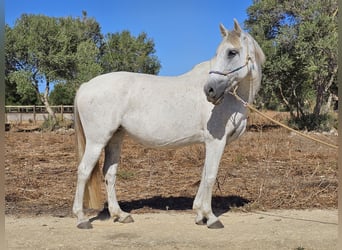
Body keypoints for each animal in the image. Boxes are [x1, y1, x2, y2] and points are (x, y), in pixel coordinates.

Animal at [71, 19, 264, 229]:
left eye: (231, 52)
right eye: (223, 52)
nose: (210, 90)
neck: (230, 98)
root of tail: (85, 86)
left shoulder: (210, 143)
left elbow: (204, 174)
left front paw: (199, 214)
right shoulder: (215, 142)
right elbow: (211, 176)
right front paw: (211, 217)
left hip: (115, 138)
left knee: (110, 173)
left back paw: (120, 214)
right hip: (97, 141)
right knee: (83, 171)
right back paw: (81, 218)